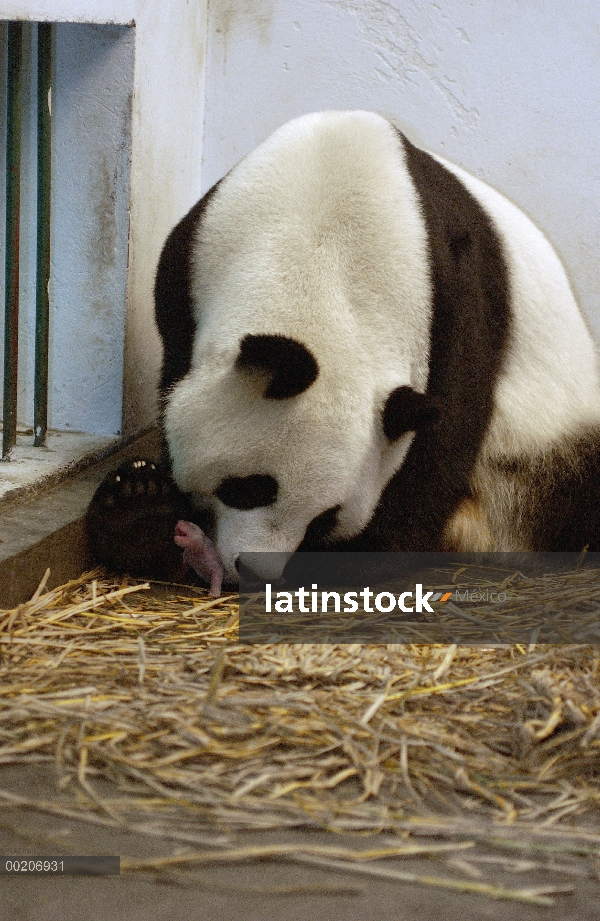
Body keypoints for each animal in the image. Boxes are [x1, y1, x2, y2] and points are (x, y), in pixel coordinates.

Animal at [85, 111, 600, 592]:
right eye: (250, 488)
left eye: (324, 518)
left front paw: (364, 552)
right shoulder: (188, 266)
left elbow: (442, 435)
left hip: (540, 458)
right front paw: (147, 503)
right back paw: (137, 508)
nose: (254, 570)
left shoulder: (457, 299)